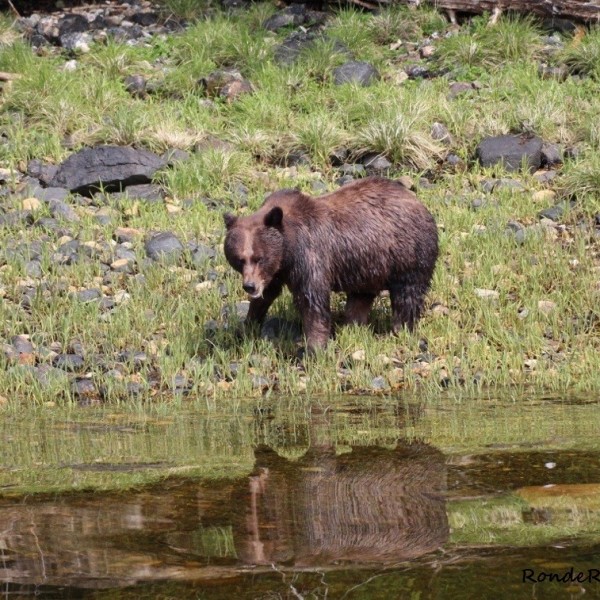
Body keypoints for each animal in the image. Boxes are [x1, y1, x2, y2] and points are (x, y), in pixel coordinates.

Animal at [223, 176, 438, 354]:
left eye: (259, 257)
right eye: (239, 259)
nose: (249, 286)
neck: (287, 250)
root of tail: (418, 202)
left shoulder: (310, 256)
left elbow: (312, 300)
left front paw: (314, 348)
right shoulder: (277, 271)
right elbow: (266, 296)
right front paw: (246, 327)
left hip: (407, 253)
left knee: (407, 294)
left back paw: (400, 329)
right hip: (367, 265)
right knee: (360, 297)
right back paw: (352, 326)